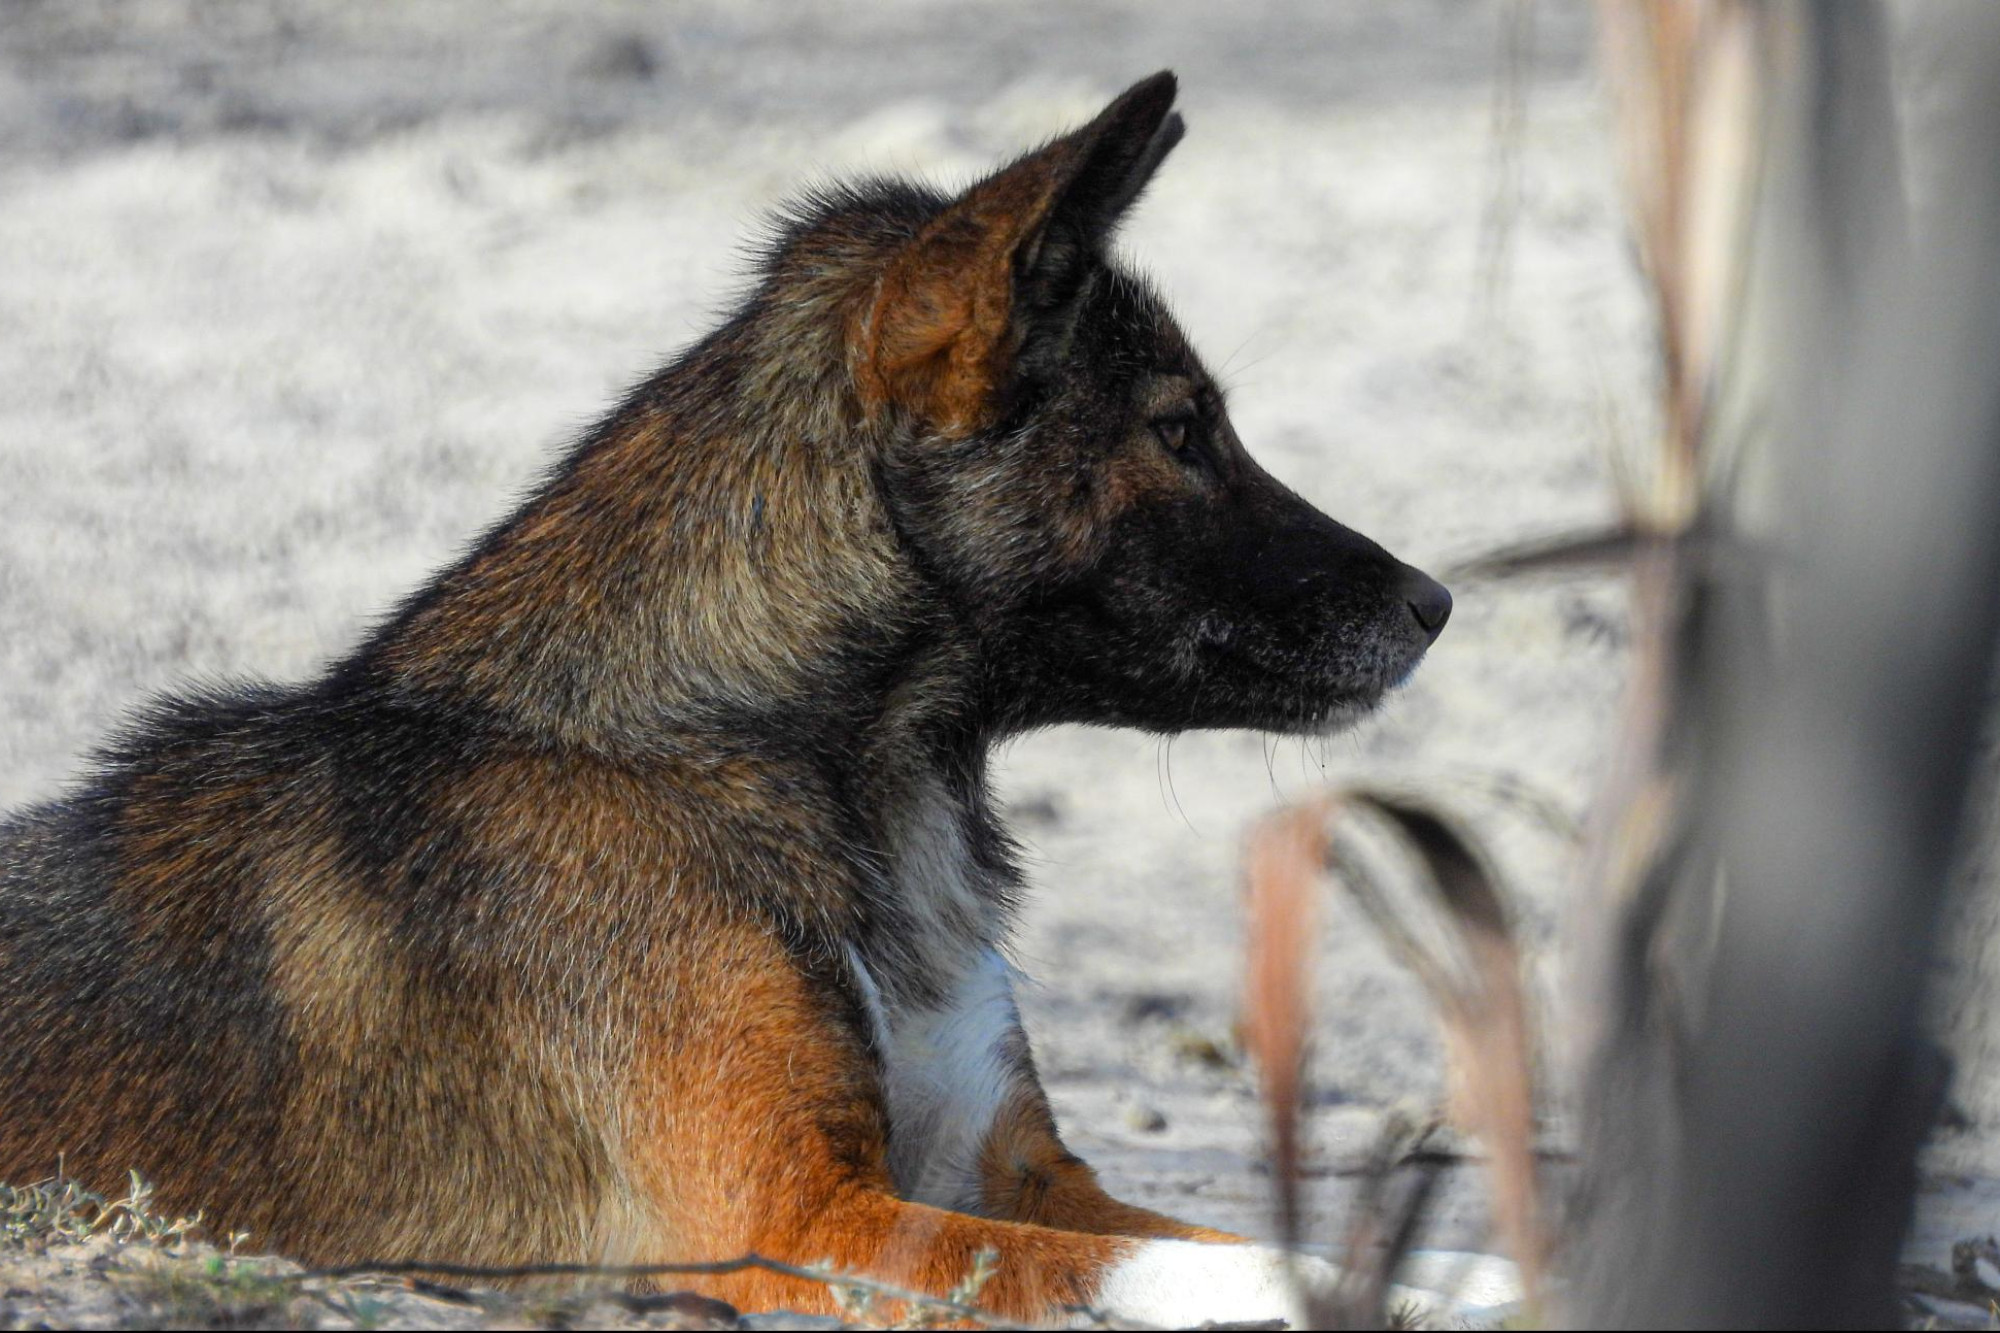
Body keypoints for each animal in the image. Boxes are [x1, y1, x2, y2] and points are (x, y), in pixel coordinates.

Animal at [0, 75, 1448, 1328]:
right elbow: (1238, 1267)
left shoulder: (1014, 1173)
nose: (1436, 602)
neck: (741, 750)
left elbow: (1274, 1240)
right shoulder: (799, 1219)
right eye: (1181, 432)